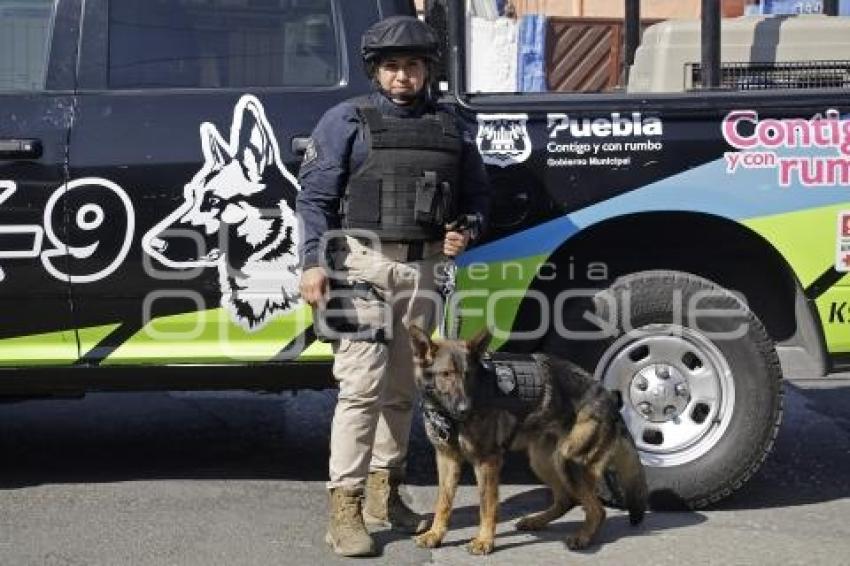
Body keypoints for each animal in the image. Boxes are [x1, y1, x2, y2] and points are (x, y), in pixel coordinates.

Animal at [408, 326, 644, 556]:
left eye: (468, 375)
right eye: (446, 374)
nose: (465, 409)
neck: (447, 415)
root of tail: (611, 399)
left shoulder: (487, 462)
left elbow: (487, 505)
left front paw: (484, 541)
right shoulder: (447, 460)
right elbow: (443, 502)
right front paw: (435, 534)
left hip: (568, 462)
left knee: (597, 510)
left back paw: (582, 537)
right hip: (543, 462)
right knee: (567, 500)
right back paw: (536, 521)